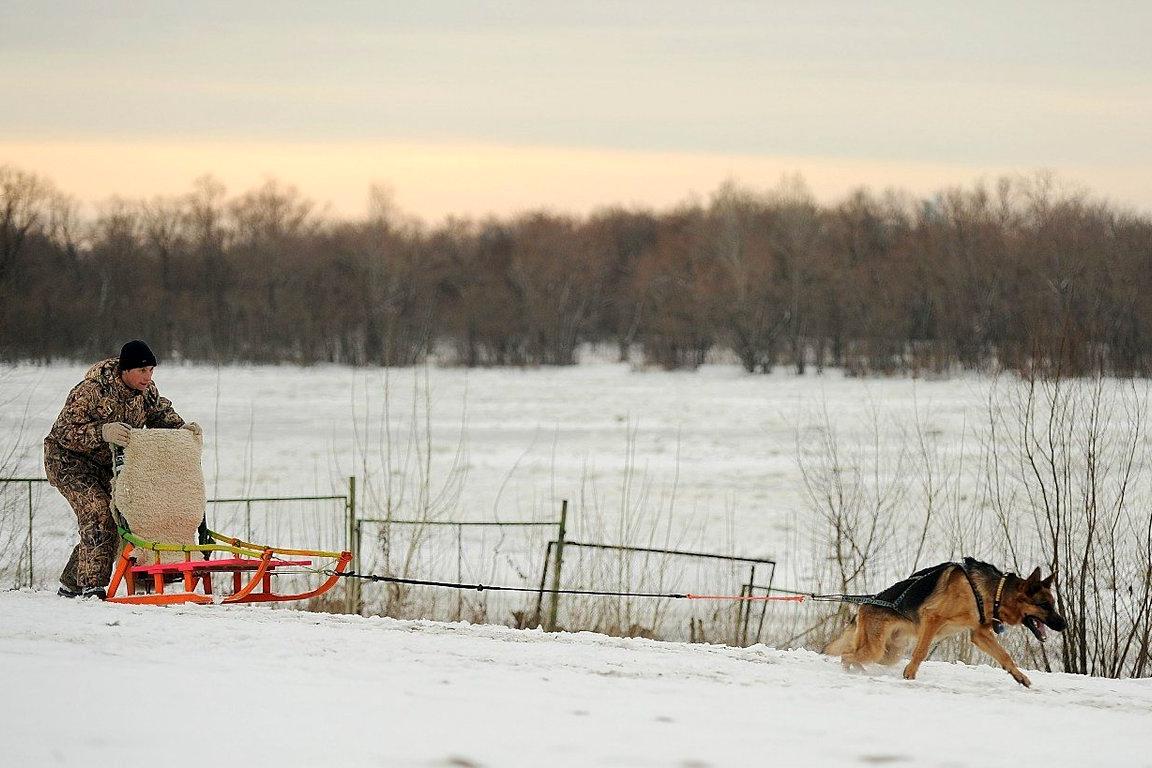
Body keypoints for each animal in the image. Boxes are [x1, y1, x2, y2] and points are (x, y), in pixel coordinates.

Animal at [829, 559, 1059, 686]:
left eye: (1053, 604)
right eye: (1045, 605)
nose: (1063, 624)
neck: (995, 592)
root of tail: (865, 603)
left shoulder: (980, 634)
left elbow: (1005, 656)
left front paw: (1019, 677)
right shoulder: (932, 618)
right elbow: (921, 652)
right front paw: (910, 675)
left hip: (888, 654)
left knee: (851, 654)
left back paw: (858, 670)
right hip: (876, 649)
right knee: (846, 654)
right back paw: (851, 671)